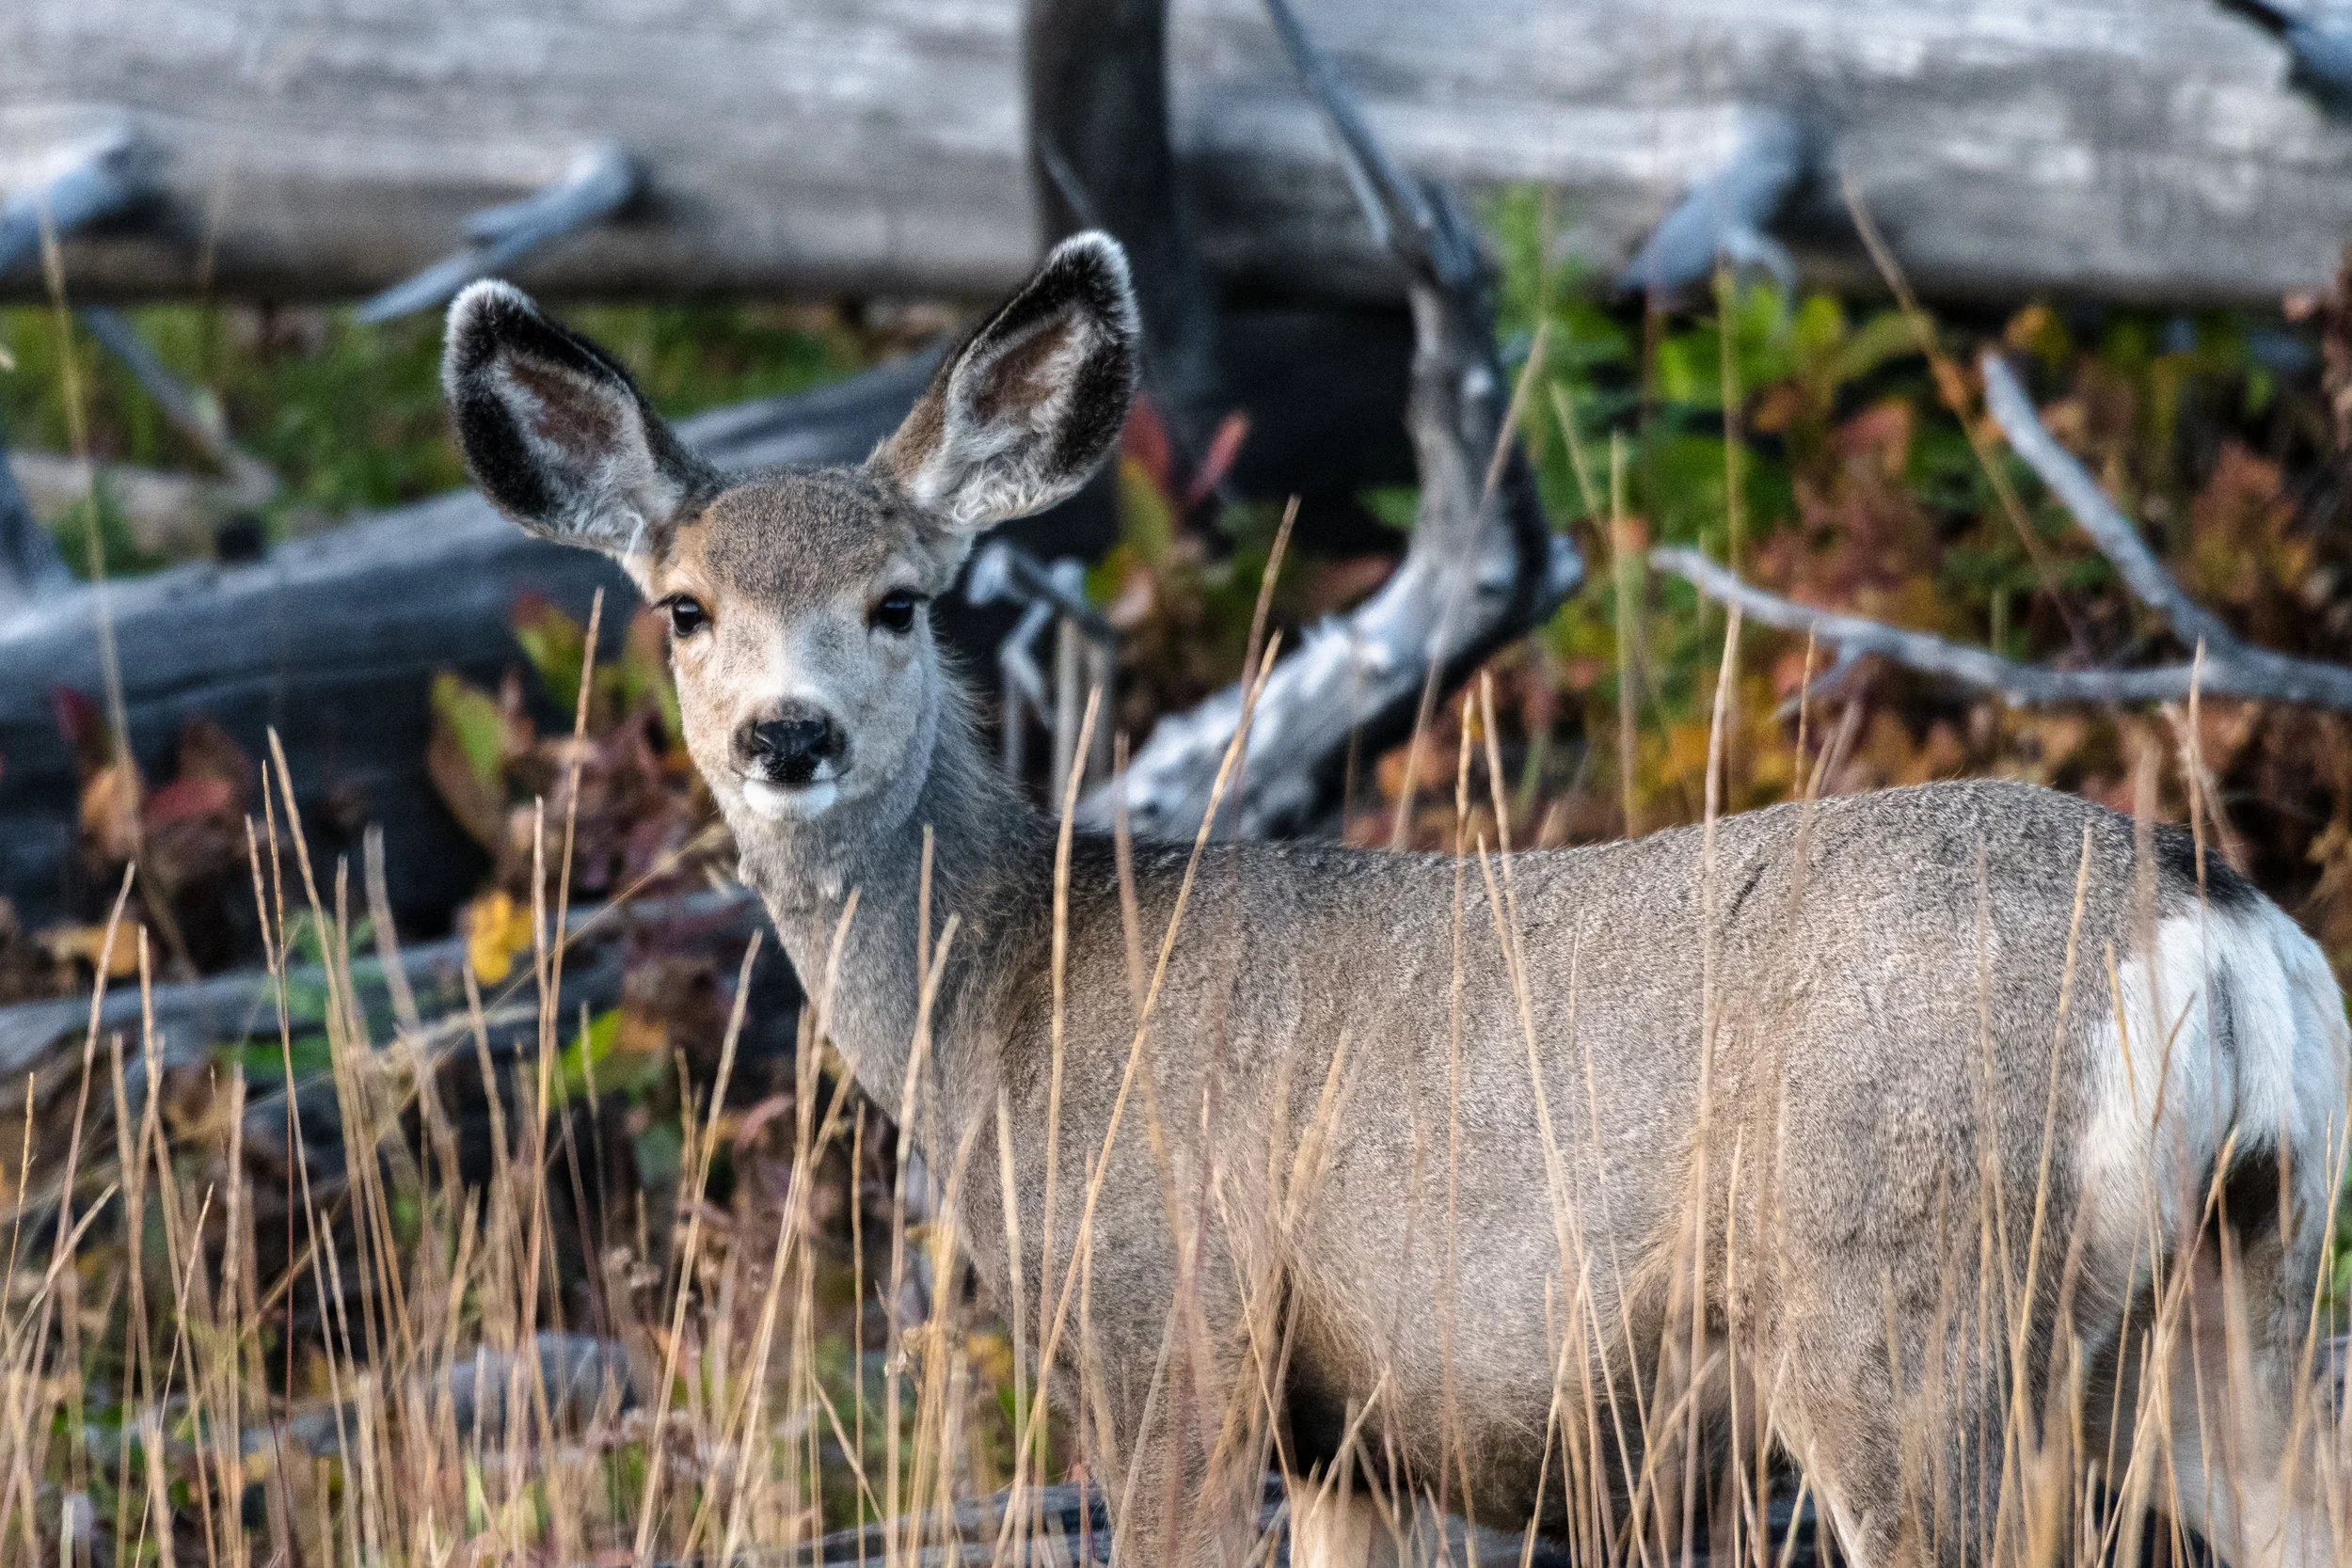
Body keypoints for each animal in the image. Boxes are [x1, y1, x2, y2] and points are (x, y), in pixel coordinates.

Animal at [442, 233, 2352, 1568]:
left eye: (903, 600)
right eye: (683, 606)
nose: (789, 732)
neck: (1010, 993)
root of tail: (2205, 925)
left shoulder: (1173, 1325)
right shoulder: (1356, 1430)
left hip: (1906, 1308)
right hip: (2245, 1280)